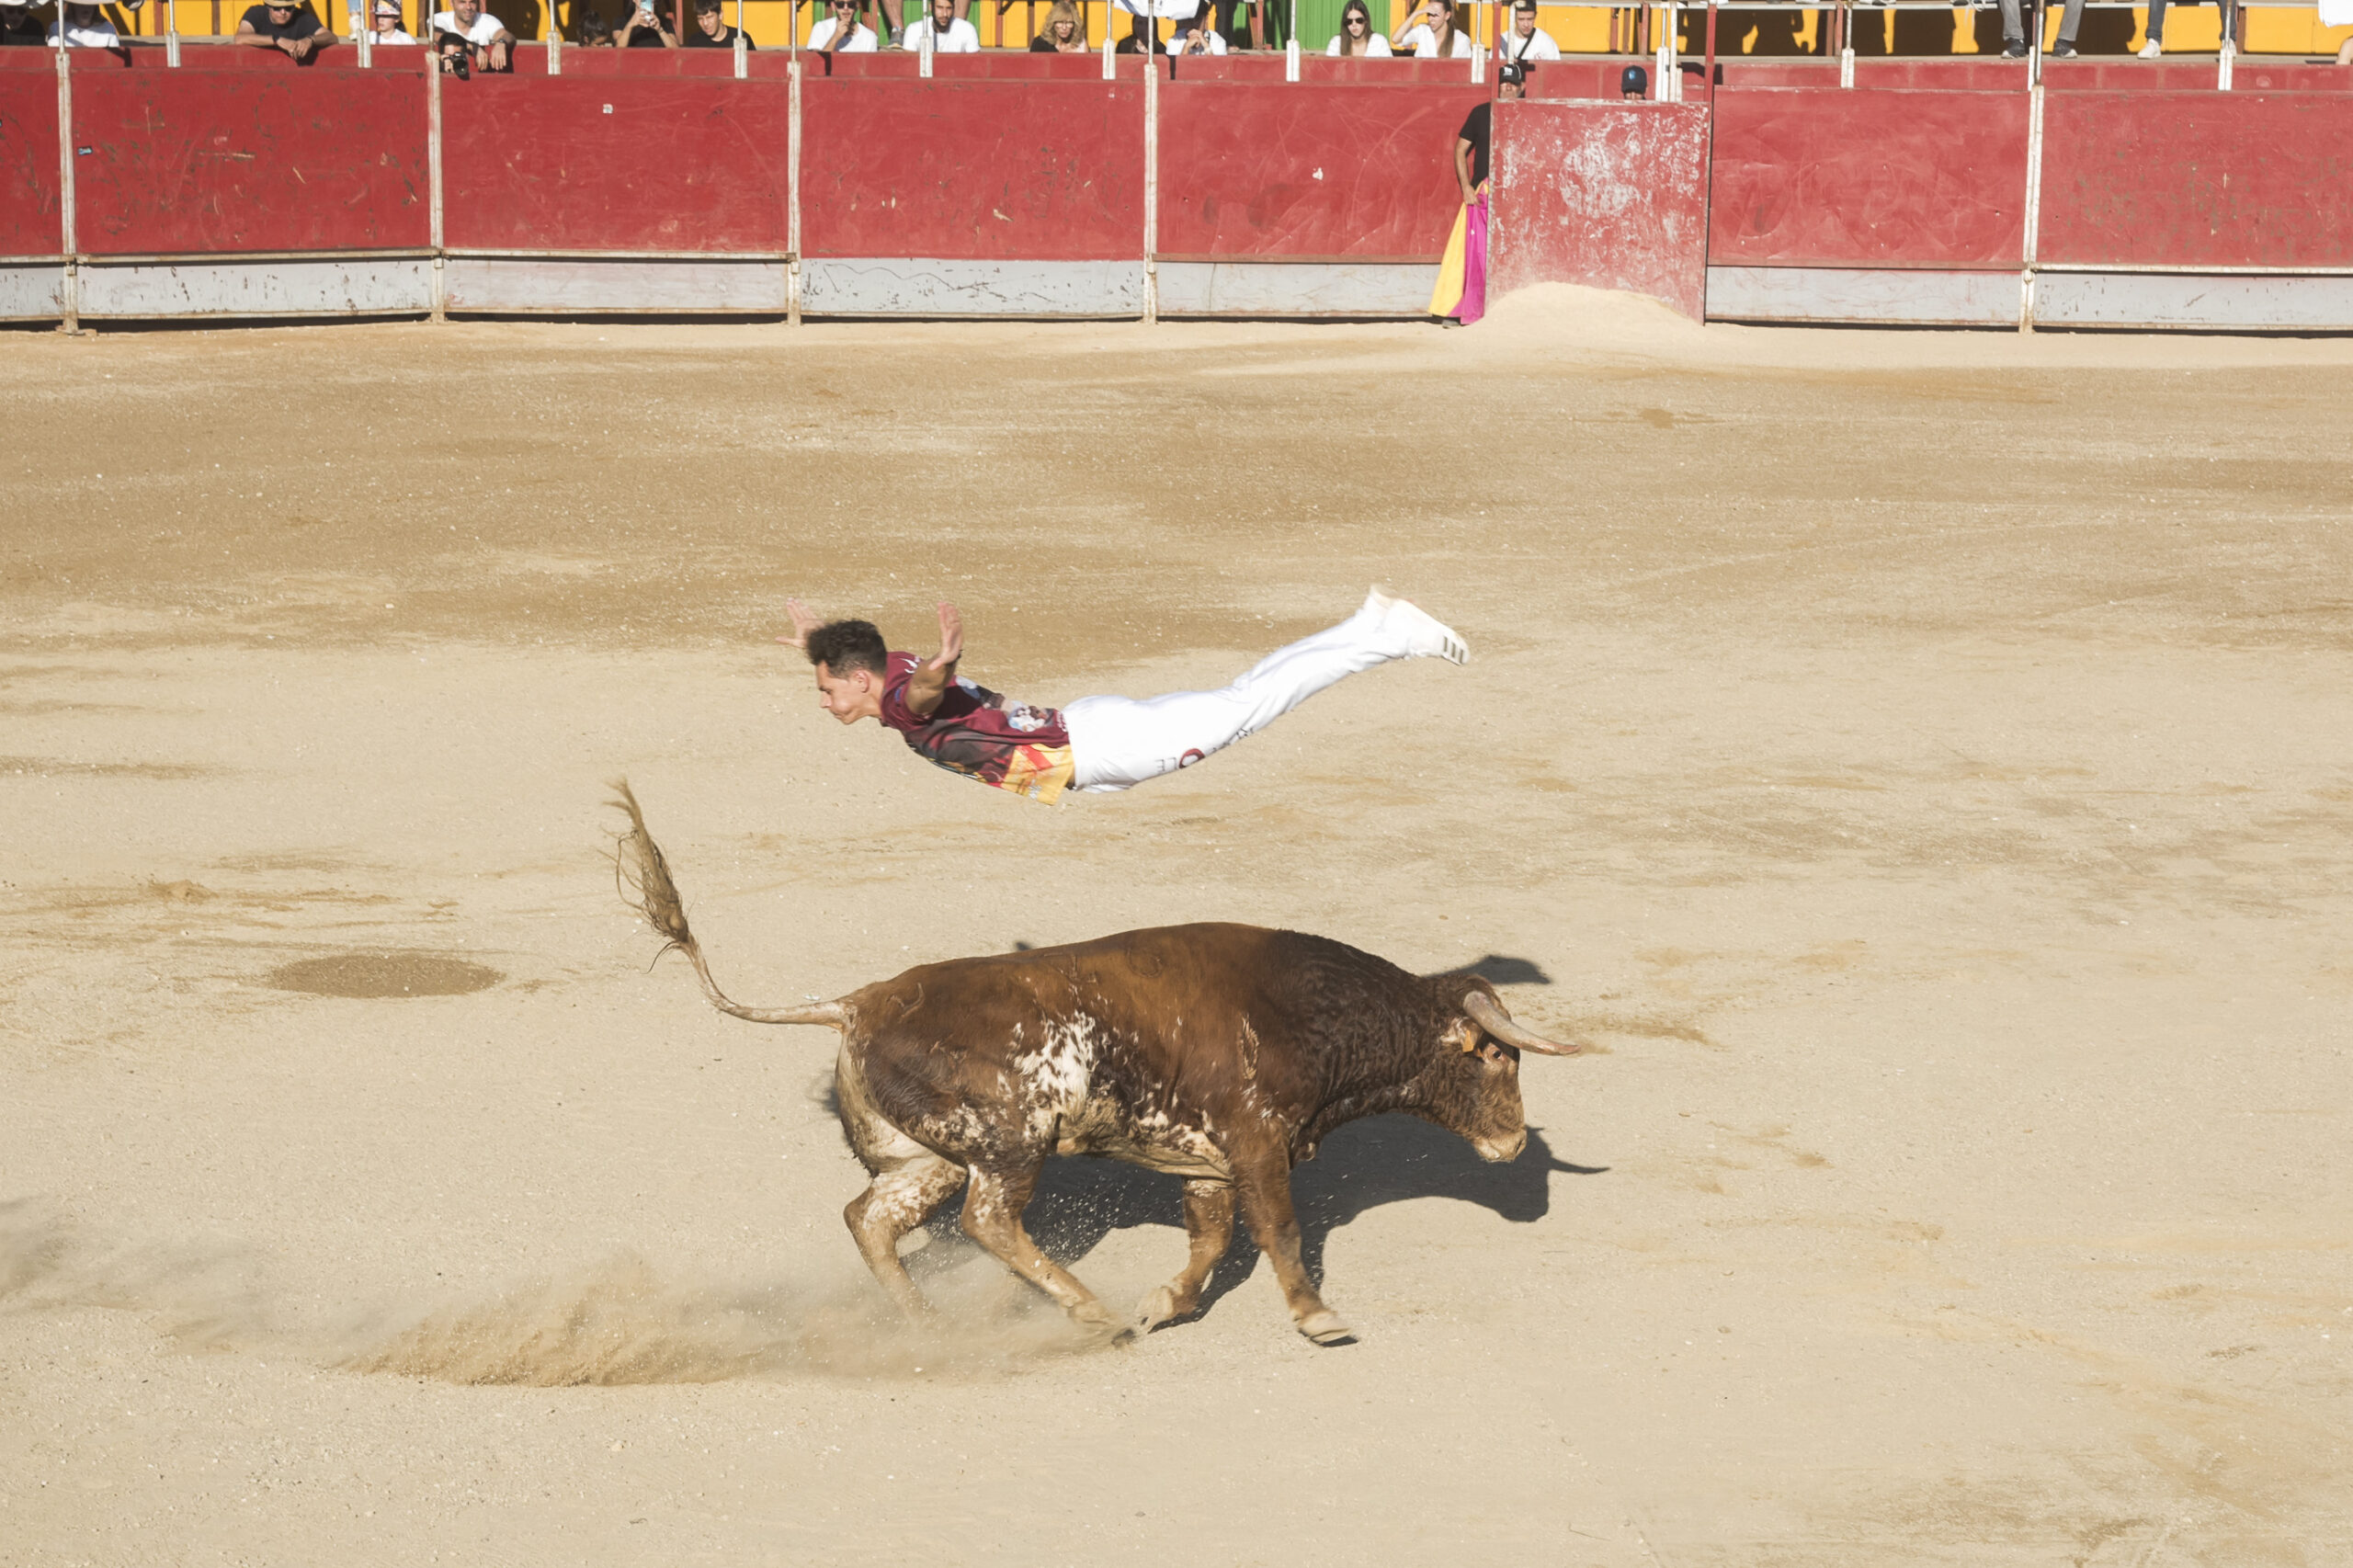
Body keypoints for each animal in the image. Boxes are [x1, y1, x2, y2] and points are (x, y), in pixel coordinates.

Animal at [611, 781, 1581, 1346]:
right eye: (1499, 1058)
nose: (1513, 1145)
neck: (1311, 1011)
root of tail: (857, 1002)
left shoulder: (1210, 1161)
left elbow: (1213, 1239)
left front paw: (1167, 1305)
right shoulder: (1258, 1144)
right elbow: (1280, 1230)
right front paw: (1317, 1318)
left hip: (926, 1156)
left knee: (870, 1219)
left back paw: (928, 1326)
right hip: (1010, 1141)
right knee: (986, 1223)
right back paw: (1088, 1311)